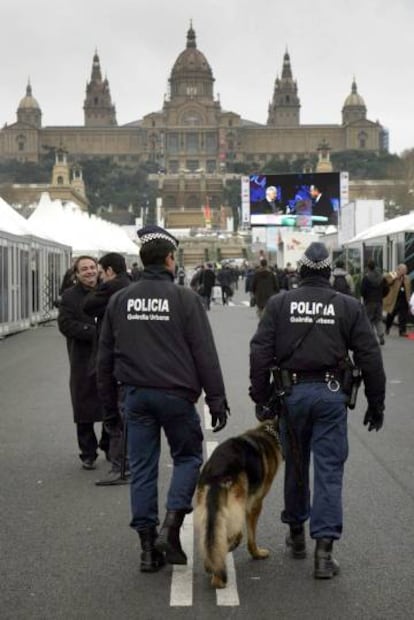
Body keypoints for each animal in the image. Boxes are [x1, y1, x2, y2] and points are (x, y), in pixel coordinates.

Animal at [194, 418, 282, 588]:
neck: (268, 431)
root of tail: (217, 471)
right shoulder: (255, 504)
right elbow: (251, 537)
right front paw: (256, 553)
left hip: (208, 512)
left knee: (212, 539)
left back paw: (211, 564)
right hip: (236, 507)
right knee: (234, 534)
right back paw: (218, 574)